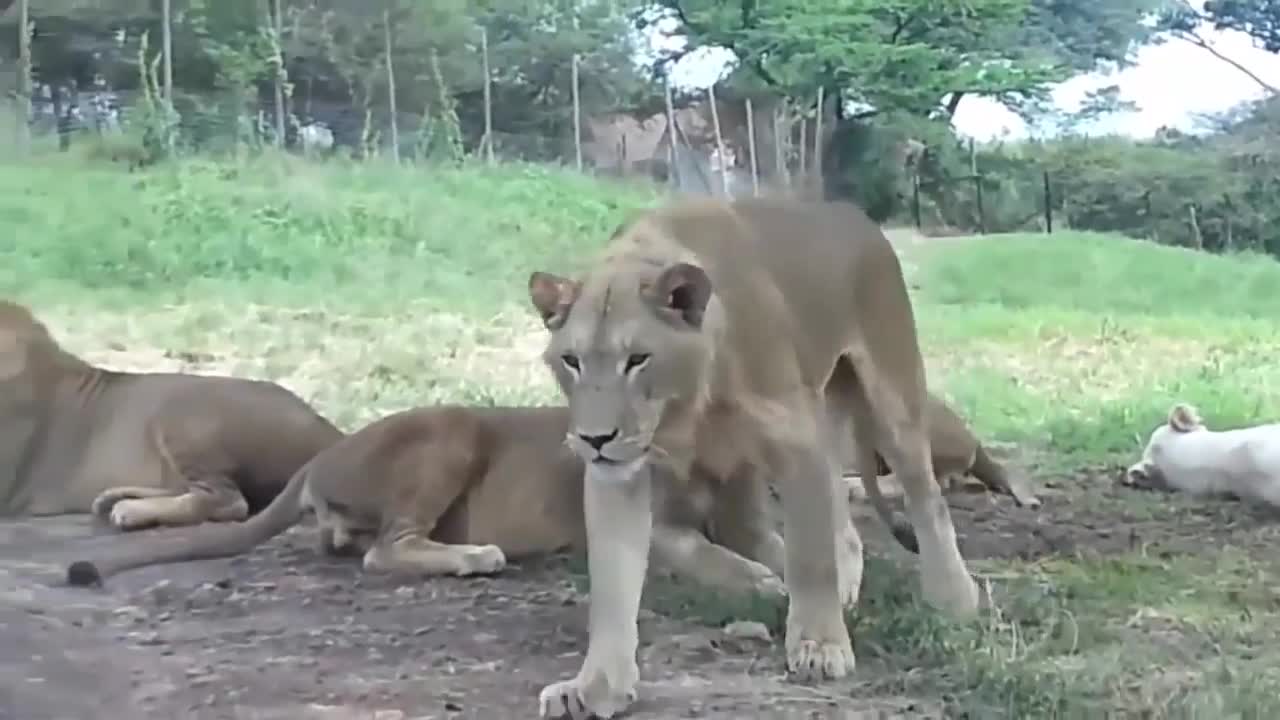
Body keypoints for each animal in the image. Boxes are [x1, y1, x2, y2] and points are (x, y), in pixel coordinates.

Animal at [64, 404, 783, 599]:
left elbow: (773, 545)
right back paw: (476, 556)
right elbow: (715, 558)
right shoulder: (648, 529)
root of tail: (322, 458)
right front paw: (764, 585)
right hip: (450, 432)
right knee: (386, 551)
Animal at [524, 193, 972, 712]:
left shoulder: (795, 440)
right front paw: (594, 687)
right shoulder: (623, 476)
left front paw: (819, 645)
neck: (686, 406)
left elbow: (809, 556)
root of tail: (856, 215)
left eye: (637, 359)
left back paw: (955, 599)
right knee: (845, 526)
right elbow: (614, 584)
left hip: (892, 395)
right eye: (571, 361)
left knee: (926, 498)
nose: (594, 439)